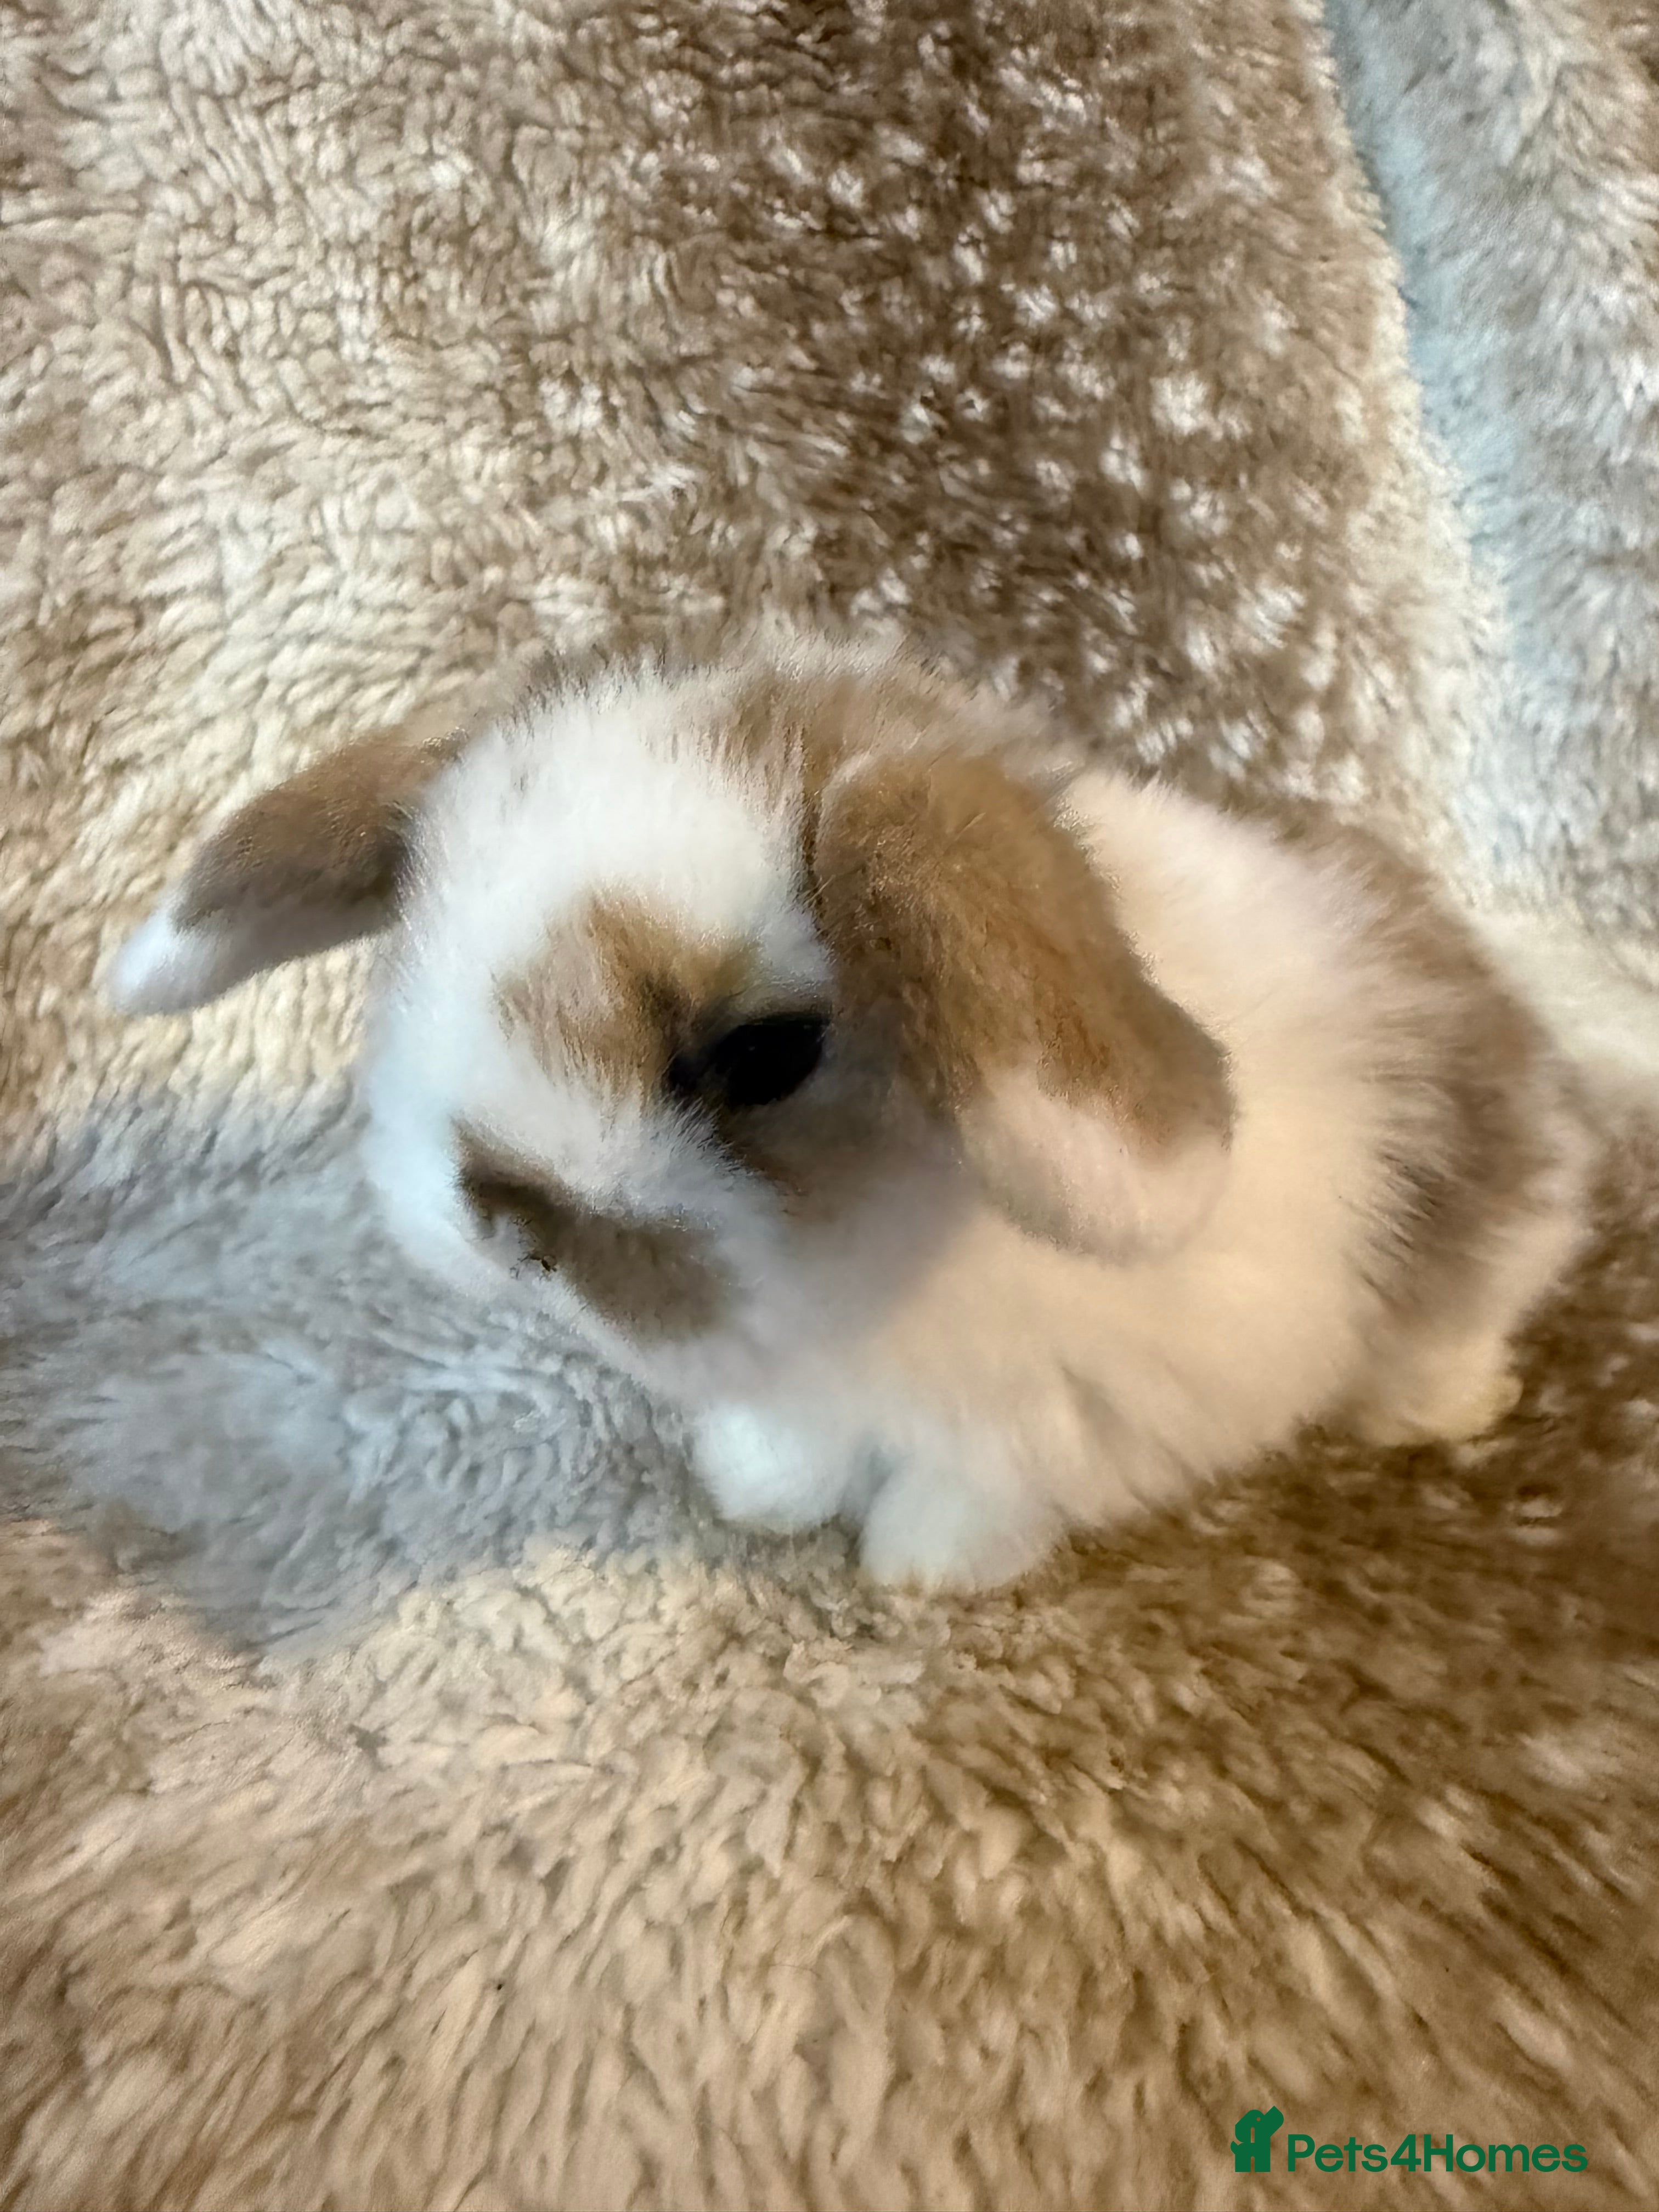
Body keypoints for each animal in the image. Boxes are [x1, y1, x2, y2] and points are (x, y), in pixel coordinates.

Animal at [108, 626, 1595, 1589]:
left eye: (766, 1055)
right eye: (416, 937)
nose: (500, 1225)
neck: (875, 1261)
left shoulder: (1043, 1422)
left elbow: (967, 1496)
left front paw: (915, 1575)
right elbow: (794, 1445)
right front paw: (761, 1498)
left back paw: (1438, 1412)